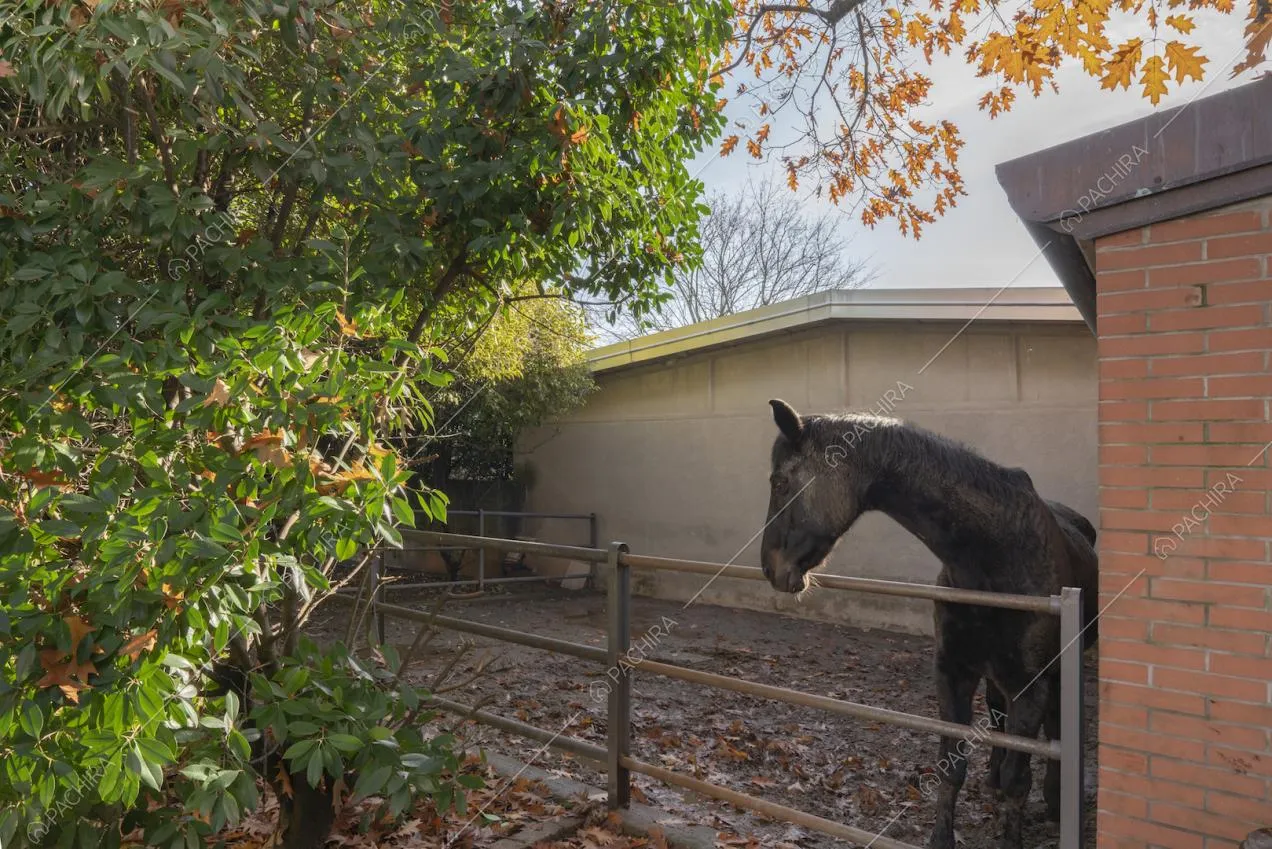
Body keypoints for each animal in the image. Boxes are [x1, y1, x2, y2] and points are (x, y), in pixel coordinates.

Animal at [757, 400, 1098, 849]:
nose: (769, 567)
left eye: (780, 482)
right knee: (999, 719)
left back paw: (1055, 799)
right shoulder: (953, 673)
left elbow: (1018, 779)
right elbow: (952, 767)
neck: (997, 555)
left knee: (1052, 727)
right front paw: (942, 837)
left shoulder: (1030, 686)